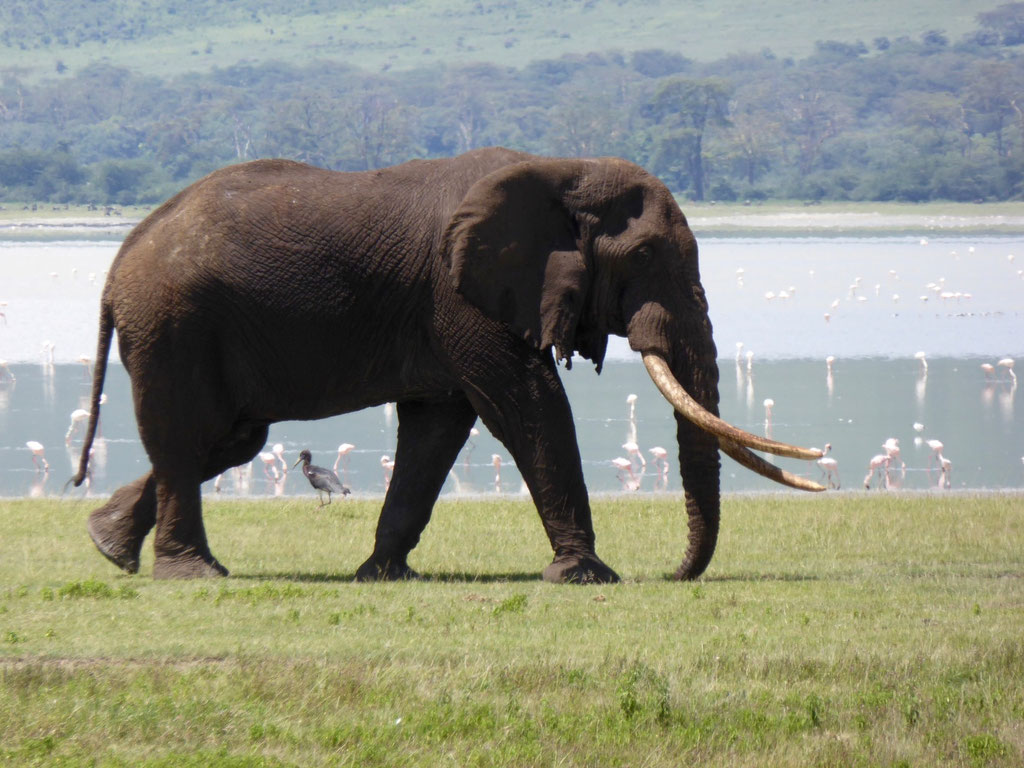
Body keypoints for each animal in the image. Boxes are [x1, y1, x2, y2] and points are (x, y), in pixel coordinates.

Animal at [73, 147, 823, 583]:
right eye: (642, 257)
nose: (673, 574)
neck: (561, 169)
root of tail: (117, 261)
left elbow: (437, 429)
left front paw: (381, 575)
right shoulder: (459, 294)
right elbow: (526, 405)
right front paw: (587, 577)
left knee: (229, 439)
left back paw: (109, 545)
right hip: (175, 323)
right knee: (188, 436)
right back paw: (193, 574)